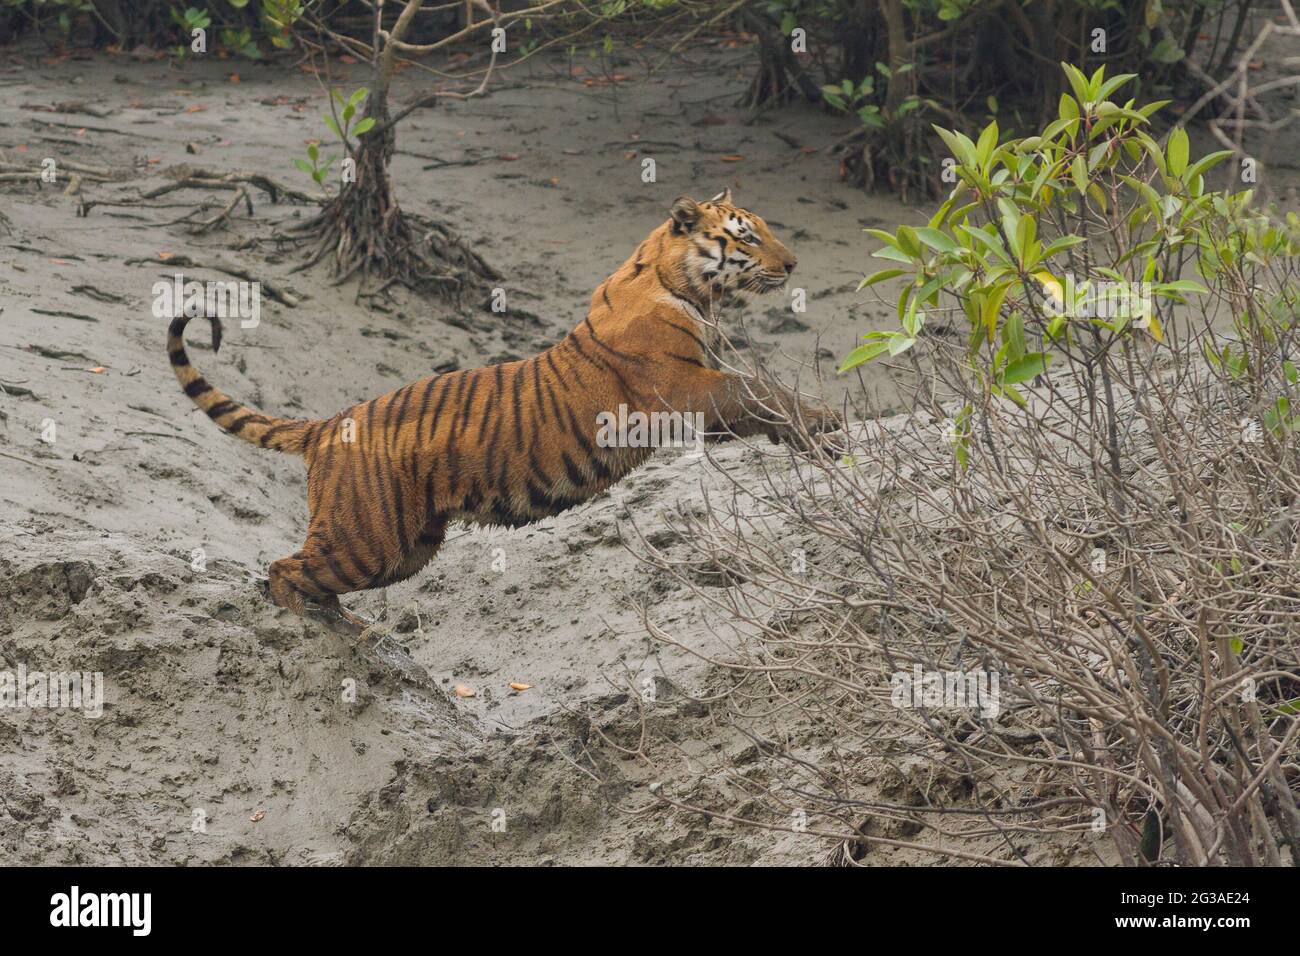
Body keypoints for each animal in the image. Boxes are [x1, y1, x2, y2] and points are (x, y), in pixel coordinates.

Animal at [167, 191, 837, 632]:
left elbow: (758, 399)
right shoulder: (684, 390)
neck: (691, 289)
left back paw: (344, 624)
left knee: (310, 572)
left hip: (405, 545)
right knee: (282, 568)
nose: (793, 266)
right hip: (366, 539)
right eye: (747, 235)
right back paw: (312, 626)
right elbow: (756, 390)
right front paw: (825, 424)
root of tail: (327, 422)